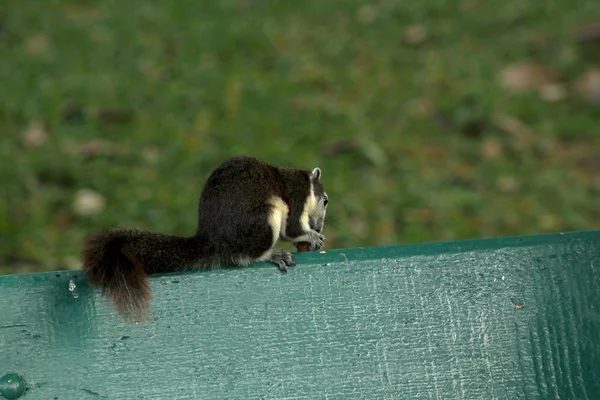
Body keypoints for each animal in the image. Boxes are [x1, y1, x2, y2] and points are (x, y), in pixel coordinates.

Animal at [81, 155, 328, 320]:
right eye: (325, 200)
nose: (319, 225)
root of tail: (213, 241)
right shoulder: (297, 197)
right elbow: (293, 228)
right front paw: (312, 236)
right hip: (265, 218)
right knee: (245, 256)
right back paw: (271, 254)